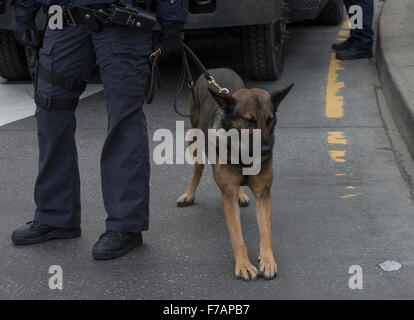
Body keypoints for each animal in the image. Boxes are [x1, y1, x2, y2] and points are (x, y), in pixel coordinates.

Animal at [176, 67, 292, 280]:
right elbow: (237, 235)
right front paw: (244, 264)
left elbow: (266, 232)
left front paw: (267, 260)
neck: (243, 153)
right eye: (249, 121)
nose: (266, 149)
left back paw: (242, 194)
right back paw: (189, 194)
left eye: (270, 120)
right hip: (195, 138)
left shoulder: (263, 195)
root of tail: (216, 69)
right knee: (198, 168)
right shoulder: (227, 197)